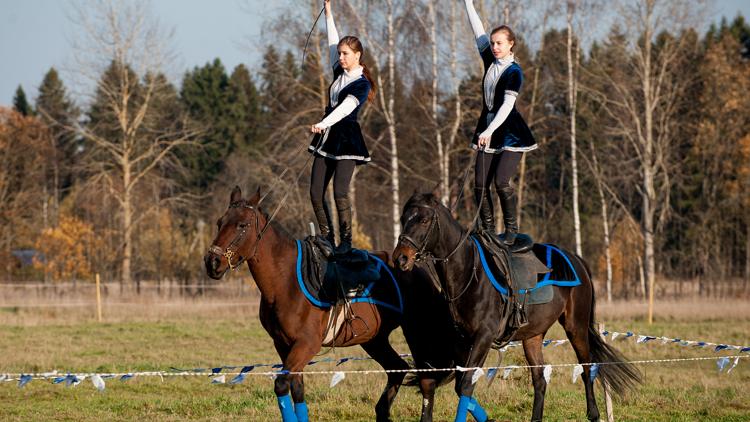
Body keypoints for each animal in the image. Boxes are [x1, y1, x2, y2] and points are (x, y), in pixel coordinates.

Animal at [203, 187, 456, 422]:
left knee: (426, 380)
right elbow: (297, 390)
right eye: (219, 223)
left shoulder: (307, 344)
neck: (286, 281)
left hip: (418, 334)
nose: (212, 262)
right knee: (397, 369)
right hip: (374, 339)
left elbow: (281, 385)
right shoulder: (283, 346)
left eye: (242, 225)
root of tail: (416, 268)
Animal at [390, 191, 644, 422]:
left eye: (423, 220)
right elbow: (461, 386)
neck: (468, 272)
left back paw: (593, 414)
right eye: (403, 218)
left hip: (576, 327)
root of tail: (575, 258)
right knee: (540, 379)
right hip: (533, 336)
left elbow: (465, 386)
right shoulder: (462, 341)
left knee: (586, 368)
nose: (400, 258)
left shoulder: (483, 337)